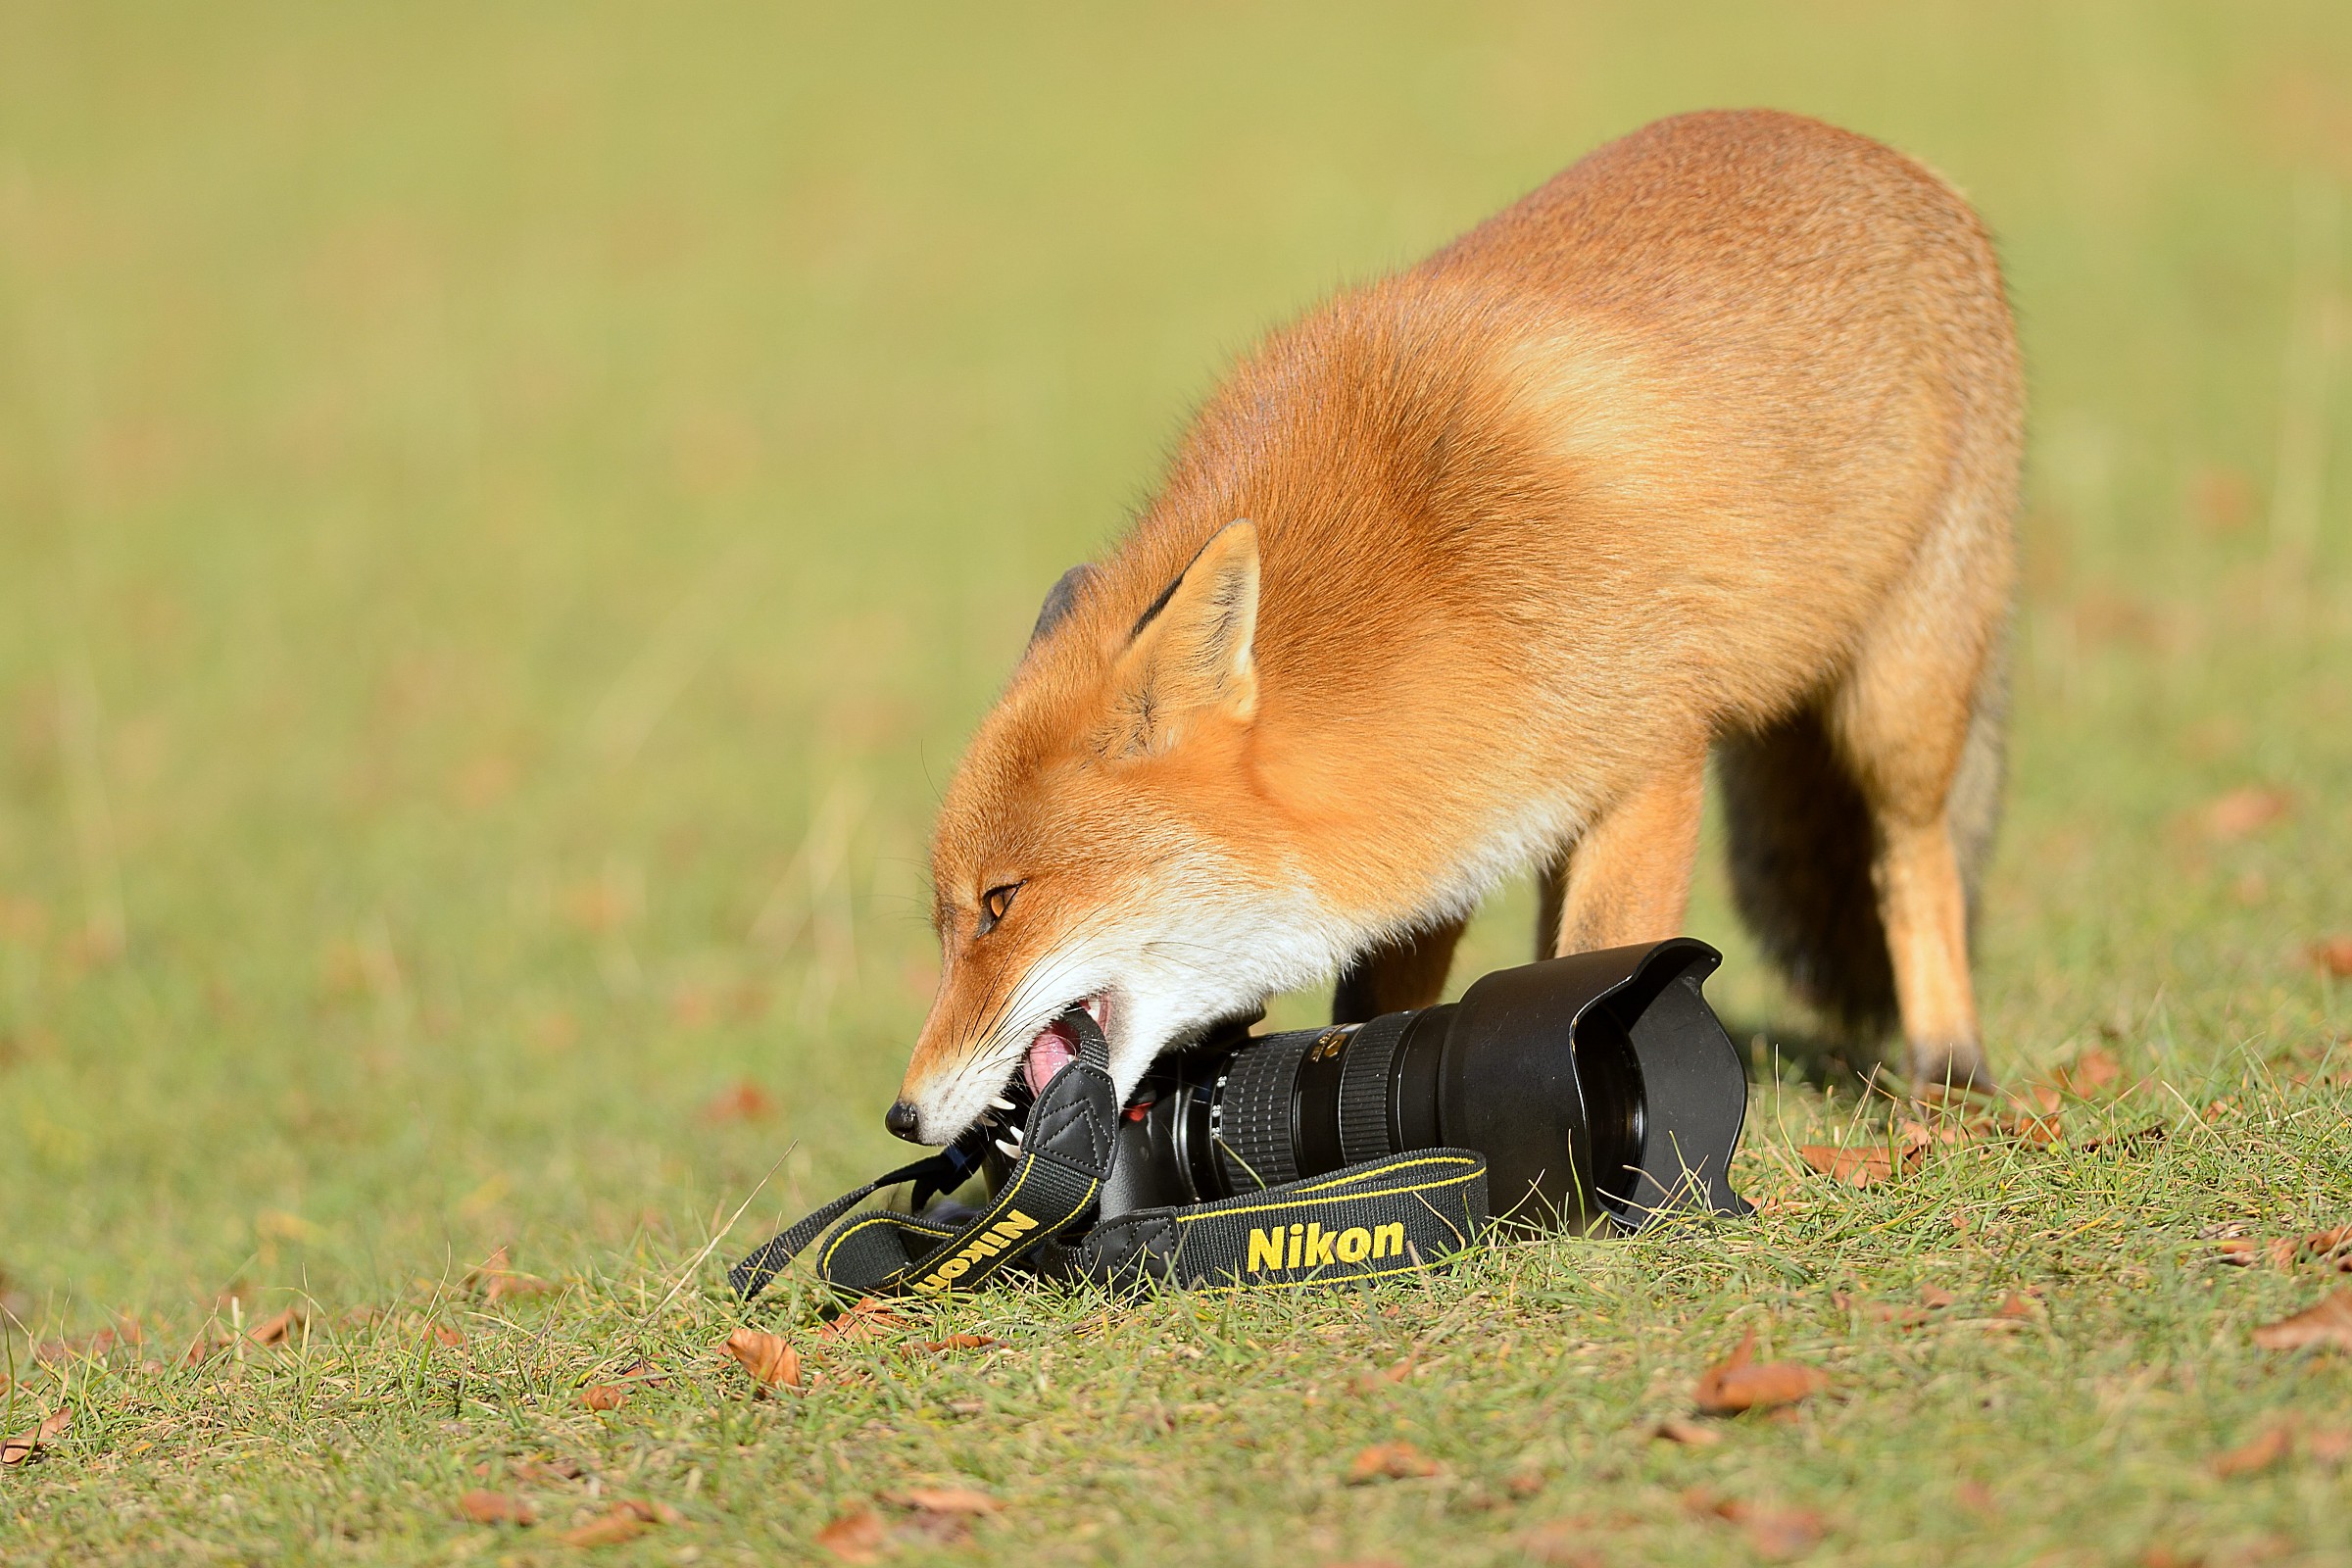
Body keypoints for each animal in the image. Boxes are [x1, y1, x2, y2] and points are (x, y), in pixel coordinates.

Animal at [886, 108, 2020, 1148]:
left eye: (1000, 903)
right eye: (946, 918)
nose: (902, 1116)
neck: (1435, 582)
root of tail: (1886, 156)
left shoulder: (1650, 763)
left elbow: (1600, 956)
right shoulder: (1439, 829)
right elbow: (1378, 1005)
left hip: (1900, 705)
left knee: (1911, 859)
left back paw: (1950, 1068)